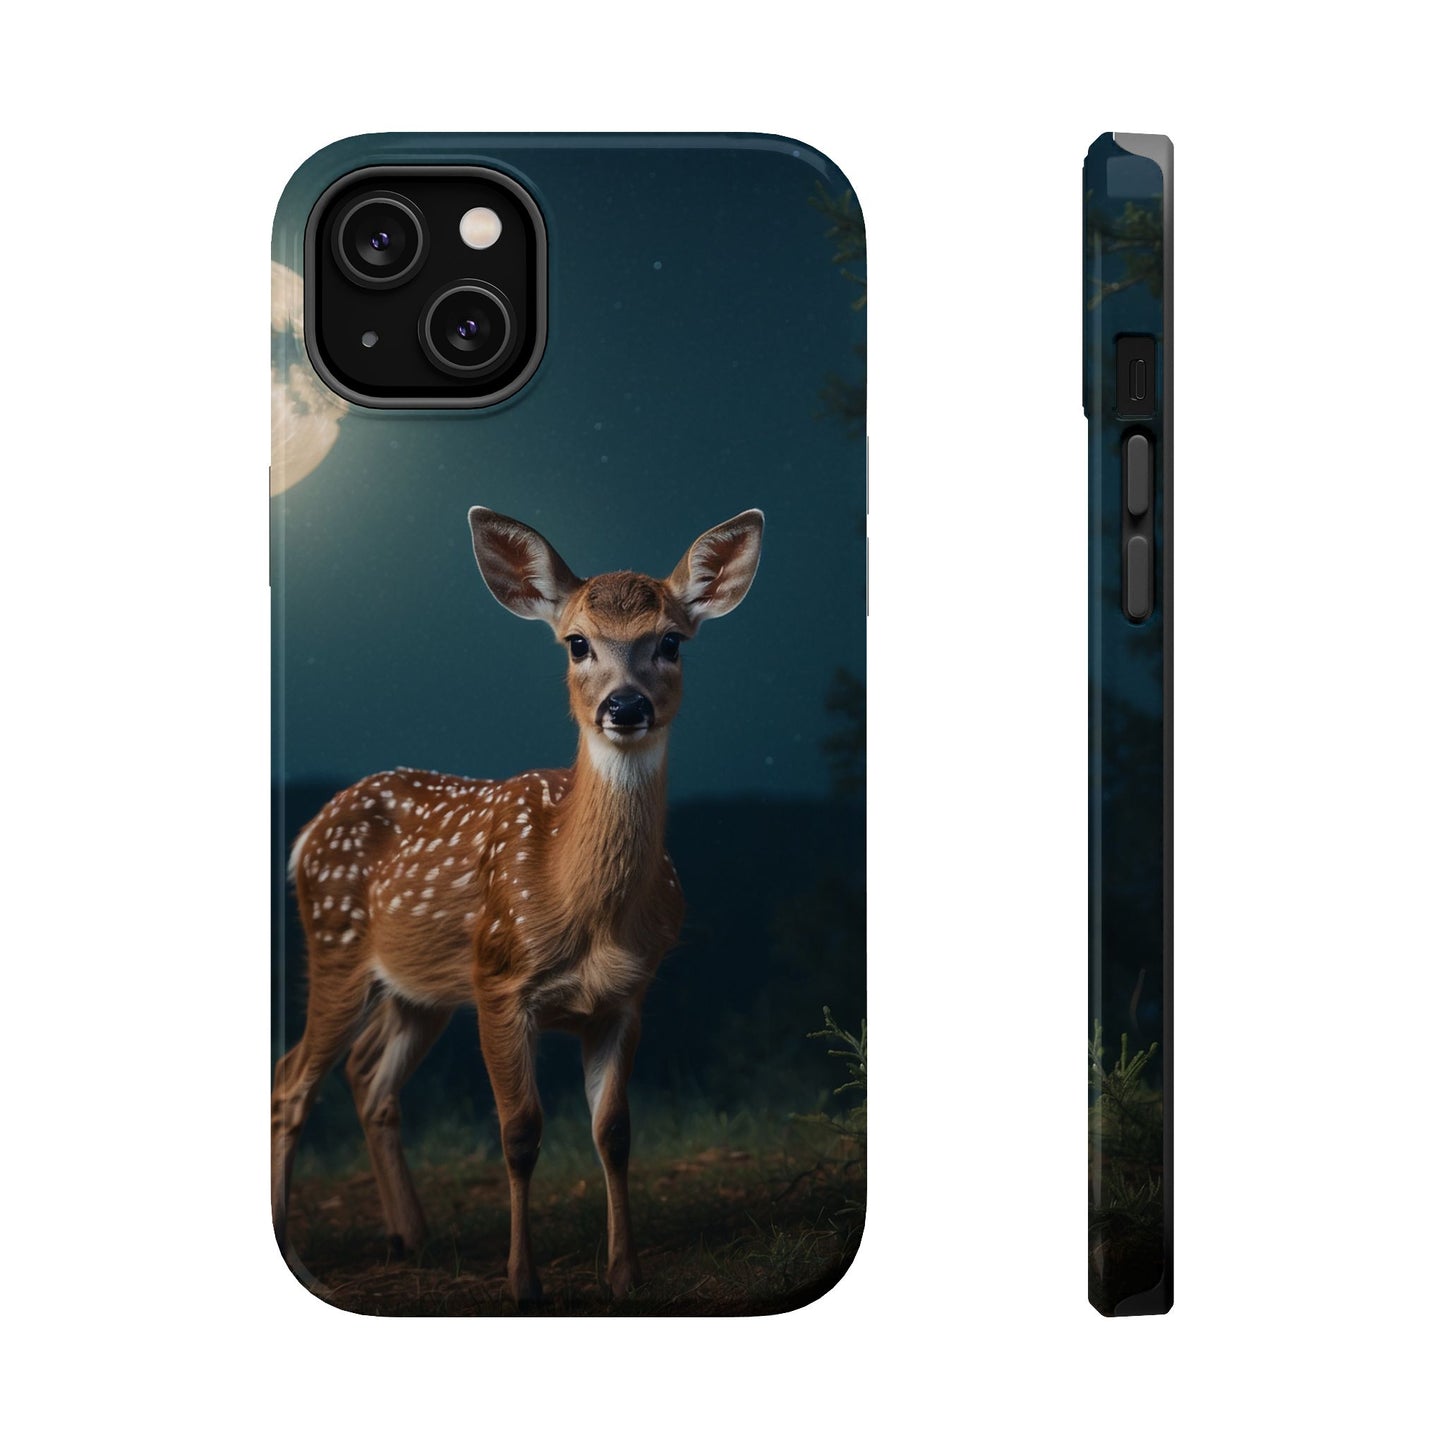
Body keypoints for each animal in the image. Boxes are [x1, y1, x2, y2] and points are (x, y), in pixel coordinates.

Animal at [272, 505, 764, 1304]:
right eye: (576, 642)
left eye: (670, 641)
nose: (624, 705)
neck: (583, 908)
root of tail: (310, 832)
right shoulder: (501, 982)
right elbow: (520, 1131)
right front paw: (522, 1281)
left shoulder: (626, 997)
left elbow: (614, 1132)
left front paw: (625, 1275)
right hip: (338, 944)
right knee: (292, 1080)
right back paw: (299, 1239)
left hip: (422, 988)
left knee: (368, 1077)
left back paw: (411, 1236)